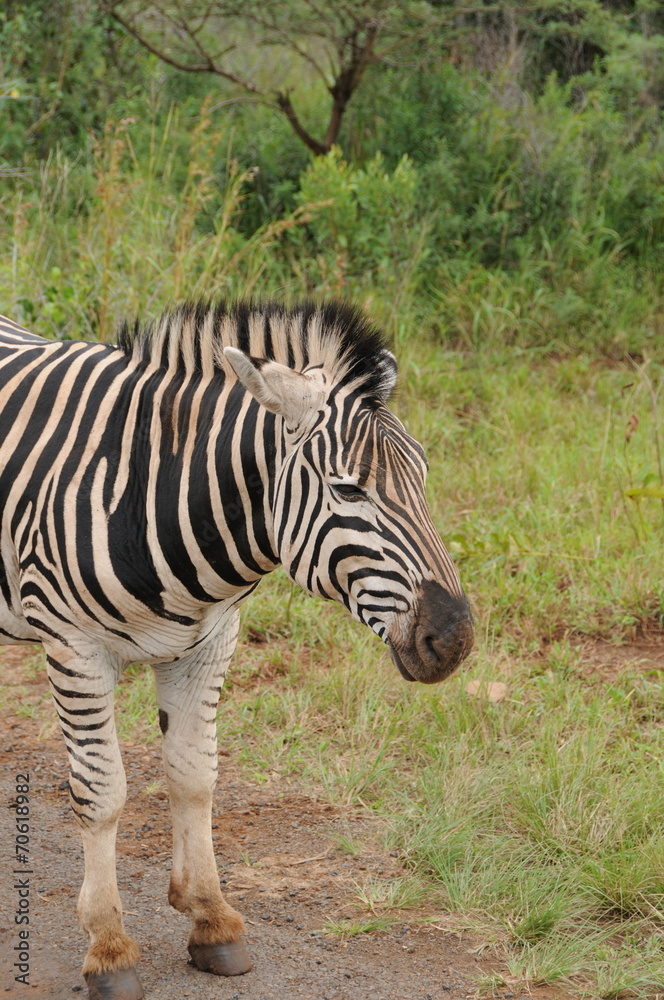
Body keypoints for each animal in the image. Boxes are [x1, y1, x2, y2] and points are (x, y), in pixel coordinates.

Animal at [0, 302, 473, 1000]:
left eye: (423, 478)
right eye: (348, 490)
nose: (455, 638)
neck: (149, 490)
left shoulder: (208, 642)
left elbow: (194, 776)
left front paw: (211, 919)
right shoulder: (74, 646)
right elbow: (102, 793)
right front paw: (109, 948)